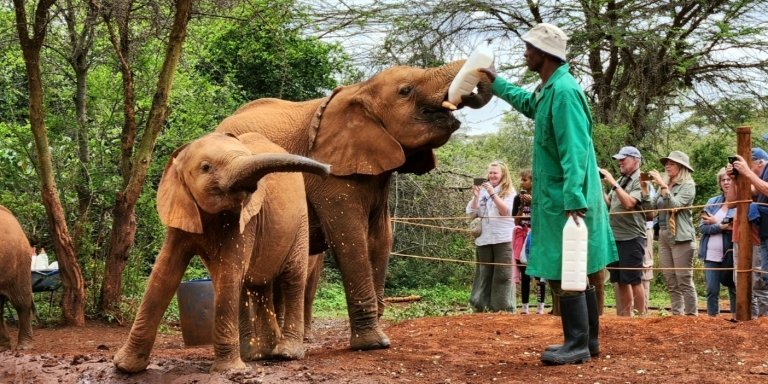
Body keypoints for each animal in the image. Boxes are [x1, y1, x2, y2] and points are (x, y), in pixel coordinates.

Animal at [114, 132, 330, 372]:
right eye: (206, 167)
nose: (327, 170)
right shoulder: (183, 209)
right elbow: (164, 273)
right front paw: (124, 367)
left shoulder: (246, 219)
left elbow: (229, 271)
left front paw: (228, 370)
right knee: (256, 284)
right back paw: (256, 354)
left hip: (300, 222)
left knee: (291, 278)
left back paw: (284, 354)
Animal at [216, 61, 492, 350]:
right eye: (405, 90)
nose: (477, 80)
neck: (361, 90)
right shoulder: (330, 176)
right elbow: (350, 237)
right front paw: (374, 343)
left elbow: (381, 238)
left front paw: (379, 336)